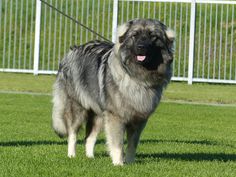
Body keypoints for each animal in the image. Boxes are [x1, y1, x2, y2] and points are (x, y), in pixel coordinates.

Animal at [52, 19, 174, 166]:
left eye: (153, 36)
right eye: (135, 35)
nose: (141, 47)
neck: (138, 77)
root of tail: (71, 51)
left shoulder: (139, 120)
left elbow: (132, 145)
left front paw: (130, 163)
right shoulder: (116, 116)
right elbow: (117, 143)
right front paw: (118, 164)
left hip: (99, 114)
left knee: (89, 137)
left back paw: (90, 157)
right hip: (78, 108)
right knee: (72, 133)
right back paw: (71, 155)